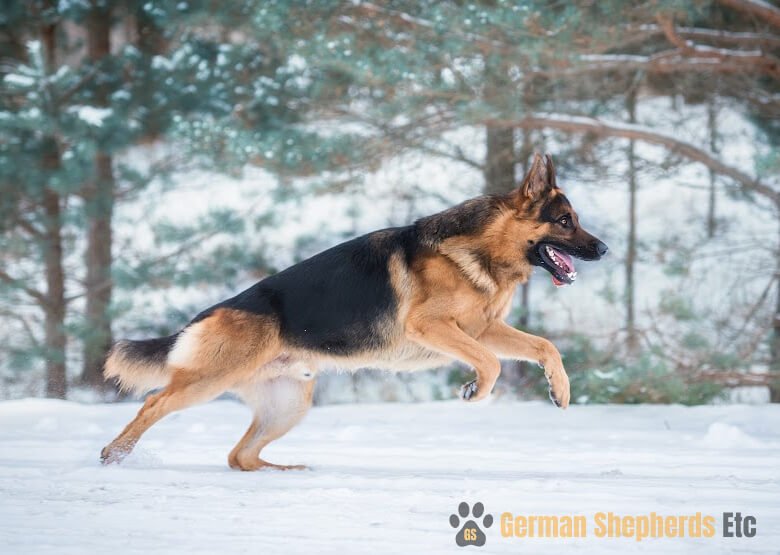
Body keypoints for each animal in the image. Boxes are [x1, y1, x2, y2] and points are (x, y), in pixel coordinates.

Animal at [100, 154, 608, 472]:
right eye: (566, 222)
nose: (603, 249)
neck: (485, 248)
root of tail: (207, 313)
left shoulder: (484, 328)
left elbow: (544, 346)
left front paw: (560, 389)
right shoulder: (434, 327)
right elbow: (492, 364)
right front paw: (474, 390)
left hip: (288, 407)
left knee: (238, 457)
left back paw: (286, 469)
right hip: (209, 382)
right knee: (153, 404)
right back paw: (114, 454)